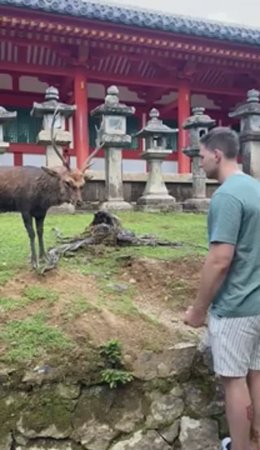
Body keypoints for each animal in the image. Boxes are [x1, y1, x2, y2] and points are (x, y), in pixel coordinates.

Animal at [0, 107, 102, 268]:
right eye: (67, 182)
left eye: (82, 184)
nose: (79, 202)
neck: (41, 199)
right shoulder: (24, 207)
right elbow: (31, 233)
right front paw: (34, 261)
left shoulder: (41, 212)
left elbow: (40, 231)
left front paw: (45, 257)